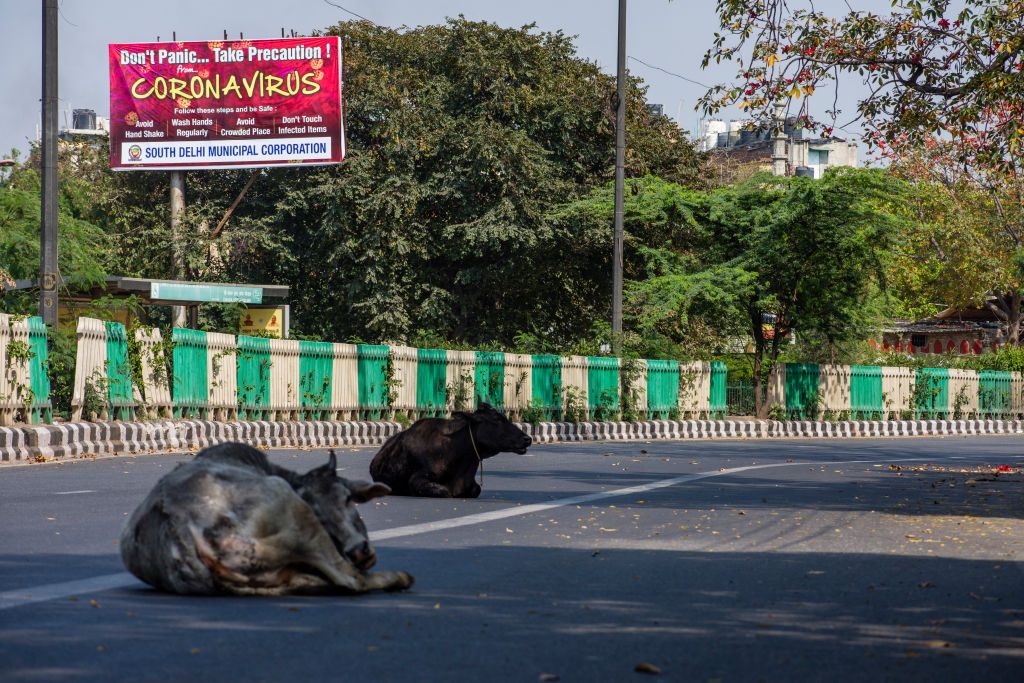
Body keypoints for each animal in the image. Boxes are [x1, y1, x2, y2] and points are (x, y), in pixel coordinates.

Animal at [122, 444, 415, 593]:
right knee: (351, 580)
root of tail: (177, 528)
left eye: (347, 499)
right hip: (296, 517)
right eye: (322, 517)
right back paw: (399, 577)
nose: (359, 551)